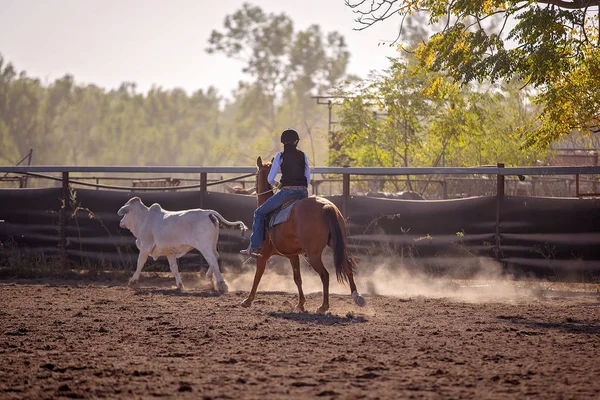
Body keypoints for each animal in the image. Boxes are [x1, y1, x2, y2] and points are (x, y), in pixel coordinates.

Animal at [116, 198, 247, 294]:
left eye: (125, 214)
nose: (121, 222)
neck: (144, 219)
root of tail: (207, 212)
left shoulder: (145, 247)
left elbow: (140, 263)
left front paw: (132, 281)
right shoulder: (169, 253)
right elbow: (174, 268)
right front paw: (179, 285)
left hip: (204, 247)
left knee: (213, 261)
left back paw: (221, 284)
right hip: (212, 245)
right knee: (217, 256)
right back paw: (209, 278)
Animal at [240, 155, 366, 314]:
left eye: (256, 175)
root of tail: (325, 206)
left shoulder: (263, 255)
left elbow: (257, 276)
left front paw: (248, 300)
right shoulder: (293, 255)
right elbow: (297, 278)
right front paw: (300, 304)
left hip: (314, 255)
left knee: (325, 275)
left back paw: (323, 307)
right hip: (339, 245)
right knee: (347, 266)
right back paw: (357, 297)